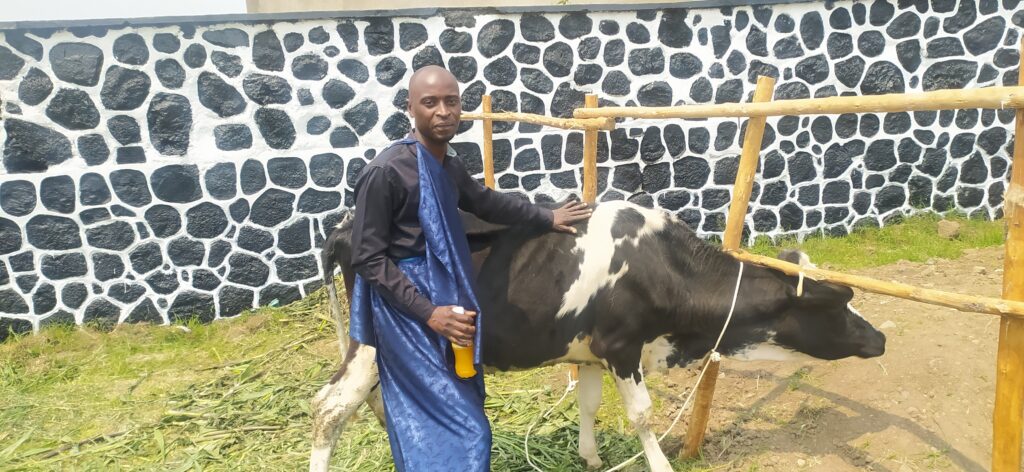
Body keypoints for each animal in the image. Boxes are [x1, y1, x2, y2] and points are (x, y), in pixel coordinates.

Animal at [310, 200, 886, 472]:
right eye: (839, 307)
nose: (879, 339)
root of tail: (346, 223)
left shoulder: (588, 352)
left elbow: (587, 403)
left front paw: (589, 457)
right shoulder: (620, 346)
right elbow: (642, 415)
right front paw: (659, 464)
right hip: (370, 345)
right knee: (329, 408)